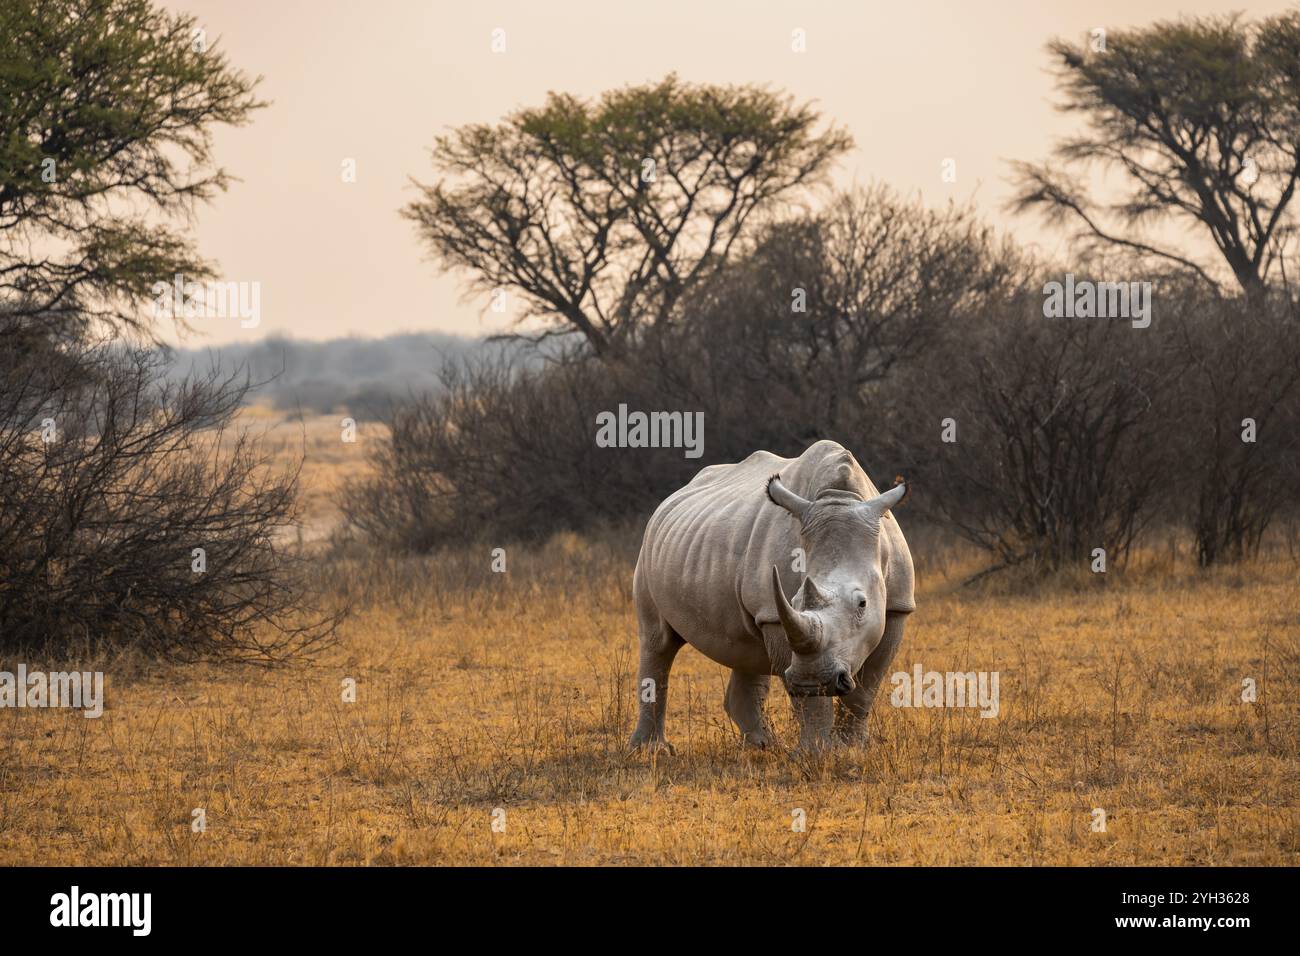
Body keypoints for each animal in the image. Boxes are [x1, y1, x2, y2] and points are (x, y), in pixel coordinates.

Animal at [629, 442, 915, 754]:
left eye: (862, 604)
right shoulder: (776, 614)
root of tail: (669, 499)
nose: (812, 679)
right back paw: (651, 750)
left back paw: (763, 746)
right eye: (796, 600)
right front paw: (815, 753)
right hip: (647, 549)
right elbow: (810, 701)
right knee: (658, 641)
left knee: (746, 649)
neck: (840, 499)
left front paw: (851, 749)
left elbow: (865, 689)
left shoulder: (897, 608)